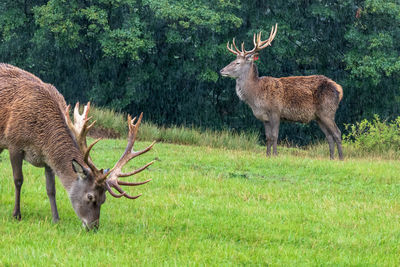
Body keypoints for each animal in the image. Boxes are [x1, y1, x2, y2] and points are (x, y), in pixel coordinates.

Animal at [0, 63, 155, 230]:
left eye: (104, 199)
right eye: (90, 196)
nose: (93, 227)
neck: (41, 136)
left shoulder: (47, 159)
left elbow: (51, 189)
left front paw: (56, 218)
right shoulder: (14, 143)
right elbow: (18, 180)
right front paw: (16, 215)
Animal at [219, 24, 344, 159]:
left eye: (237, 62)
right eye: (232, 60)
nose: (221, 70)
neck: (255, 96)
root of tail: (339, 89)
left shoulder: (275, 111)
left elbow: (275, 136)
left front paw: (275, 155)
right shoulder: (264, 117)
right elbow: (268, 137)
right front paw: (267, 155)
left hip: (327, 111)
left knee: (337, 132)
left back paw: (341, 158)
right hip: (319, 116)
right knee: (329, 135)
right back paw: (331, 158)